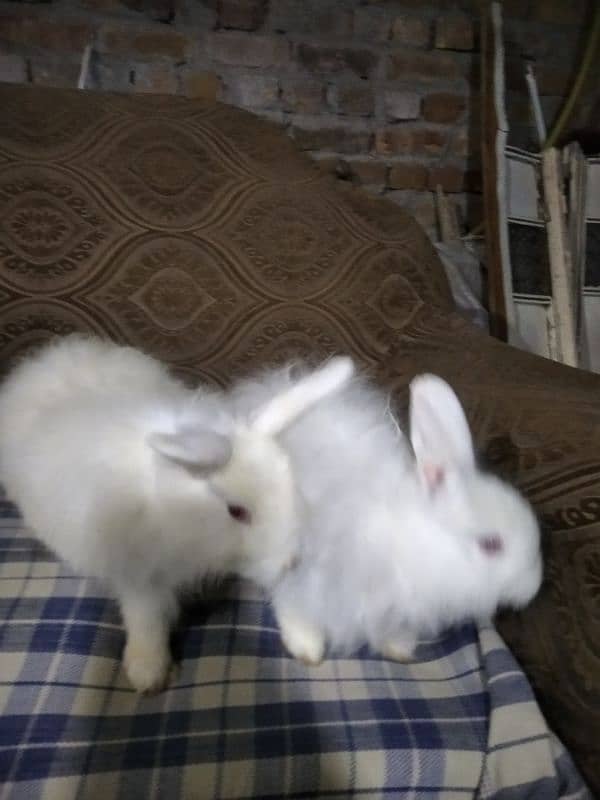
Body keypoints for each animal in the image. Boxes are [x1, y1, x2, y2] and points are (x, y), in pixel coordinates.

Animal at [0, 334, 354, 692]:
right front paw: (148, 672)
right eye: (237, 511)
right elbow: (145, 615)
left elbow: (287, 596)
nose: (292, 561)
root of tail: (54, 358)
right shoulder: (139, 570)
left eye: (292, 485)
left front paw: (307, 641)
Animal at [230, 366, 544, 664]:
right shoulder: (306, 579)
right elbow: (296, 610)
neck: (406, 545)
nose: (532, 589)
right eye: (491, 544)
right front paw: (308, 650)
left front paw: (399, 650)